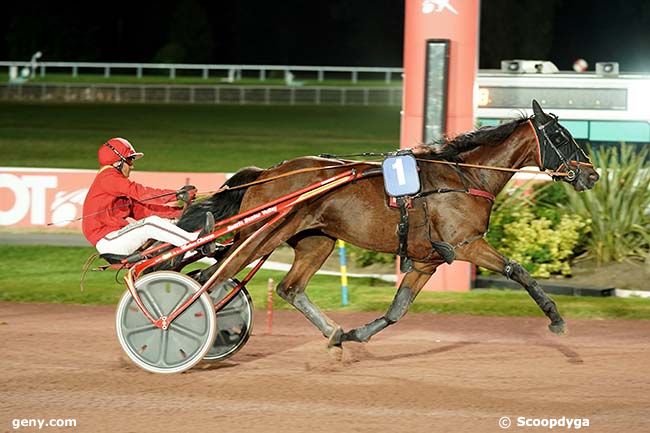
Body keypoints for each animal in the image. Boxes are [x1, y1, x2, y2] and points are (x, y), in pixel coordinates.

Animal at [176, 99, 596, 346]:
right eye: (560, 136)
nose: (591, 175)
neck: (464, 177)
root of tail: (266, 172)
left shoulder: (427, 260)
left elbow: (398, 310)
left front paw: (357, 333)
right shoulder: (466, 244)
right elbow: (517, 270)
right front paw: (556, 319)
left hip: (317, 240)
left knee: (288, 287)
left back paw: (332, 332)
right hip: (261, 236)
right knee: (213, 276)